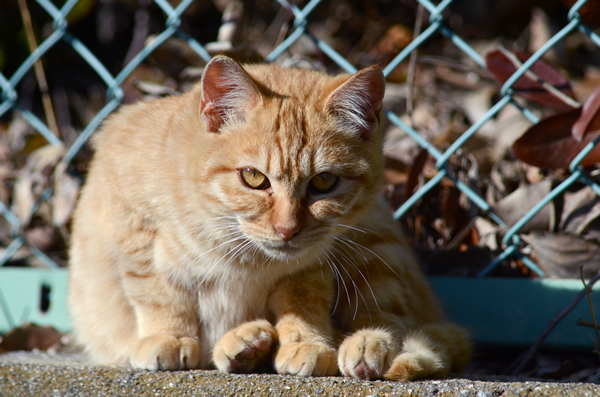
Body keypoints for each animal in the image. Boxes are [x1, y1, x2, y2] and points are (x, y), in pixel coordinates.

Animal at [68, 54, 472, 378]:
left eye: (324, 182)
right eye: (253, 177)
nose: (287, 230)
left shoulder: (311, 267)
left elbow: (303, 305)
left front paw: (308, 343)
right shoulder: (134, 229)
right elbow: (157, 292)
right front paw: (168, 335)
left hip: (376, 248)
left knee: (396, 321)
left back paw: (367, 345)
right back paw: (245, 344)